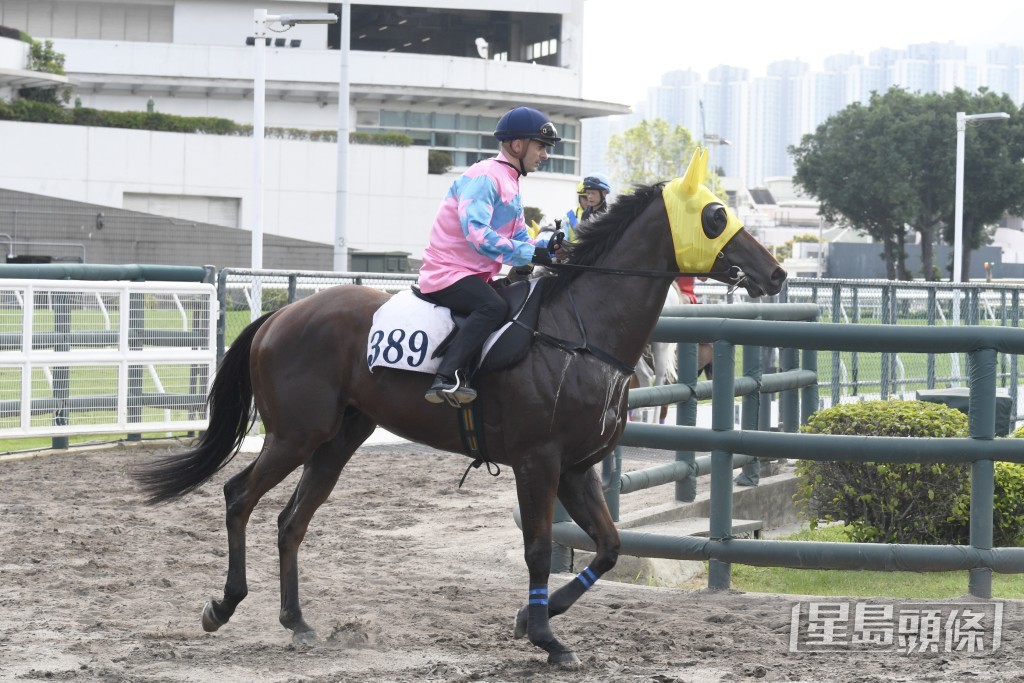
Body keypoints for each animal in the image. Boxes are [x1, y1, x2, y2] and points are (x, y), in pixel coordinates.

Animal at [132, 147, 786, 666]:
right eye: (716, 215)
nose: (776, 272)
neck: (578, 332)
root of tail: (279, 316)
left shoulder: (576, 468)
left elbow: (609, 546)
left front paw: (532, 620)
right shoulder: (539, 462)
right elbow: (539, 548)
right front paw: (546, 637)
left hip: (337, 442)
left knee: (292, 520)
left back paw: (297, 622)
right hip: (295, 435)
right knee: (239, 496)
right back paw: (223, 605)